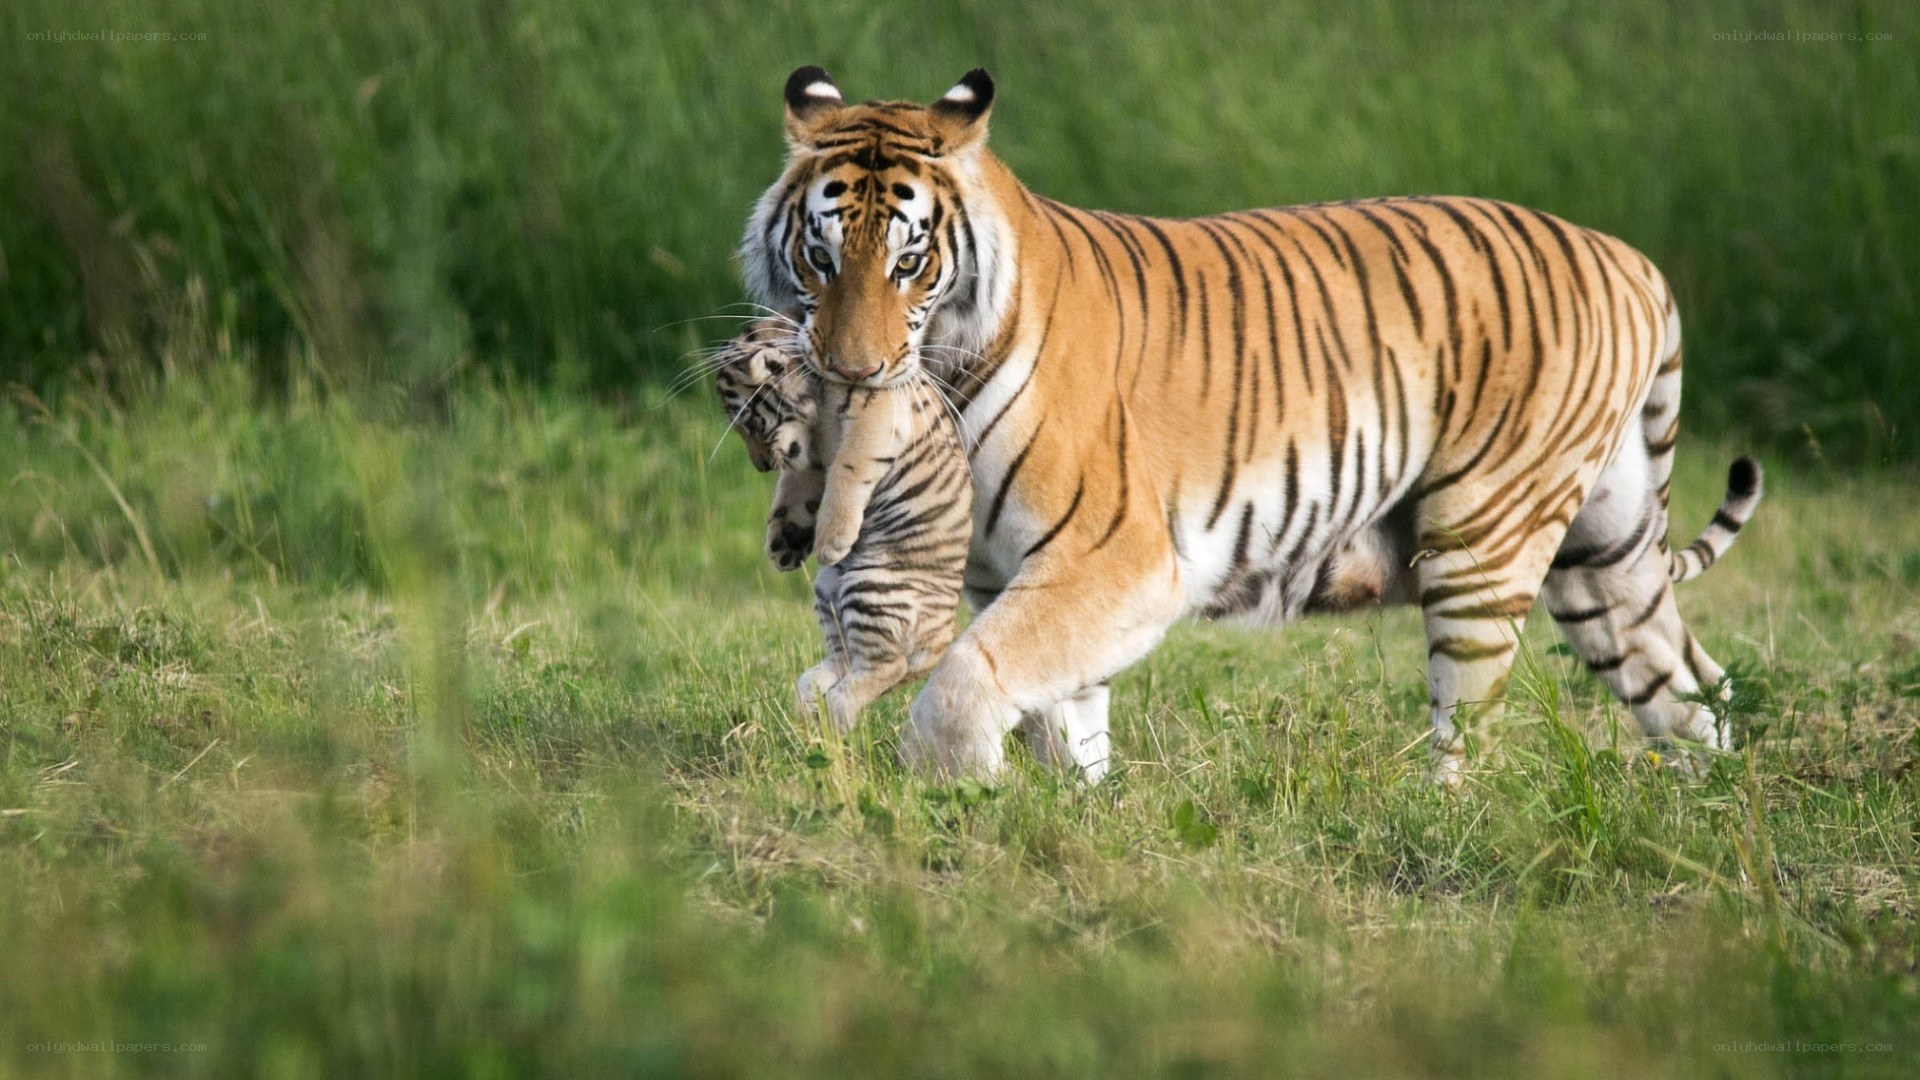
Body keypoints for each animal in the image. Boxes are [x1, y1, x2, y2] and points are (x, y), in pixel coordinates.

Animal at [711, 319, 973, 731]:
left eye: (752, 424)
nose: (761, 467)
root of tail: (940, 638)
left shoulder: (876, 418)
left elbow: (848, 471)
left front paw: (830, 540)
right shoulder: (808, 454)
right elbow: (795, 488)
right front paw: (784, 544)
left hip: (874, 589)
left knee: (887, 666)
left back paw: (834, 713)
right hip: (829, 590)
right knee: (847, 659)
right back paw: (808, 703)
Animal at [740, 65, 1764, 785]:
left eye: (909, 264)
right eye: (821, 257)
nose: (851, 372)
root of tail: (1625, 256)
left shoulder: (1116, 560)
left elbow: (965, 682)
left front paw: (953, 787)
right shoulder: (1016, 574)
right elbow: (1059, 713)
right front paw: (1075, 809)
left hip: (1487, 538)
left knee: (1467, 727)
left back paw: (1437, 815)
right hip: (1603, 555)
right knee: (1693, 692)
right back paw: (1713, 803)